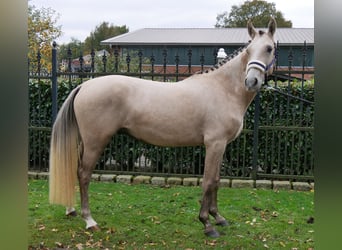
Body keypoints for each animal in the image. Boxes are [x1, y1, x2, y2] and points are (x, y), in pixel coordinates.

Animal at [48, 17, 278, 236]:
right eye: (248, 50)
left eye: (269, 48)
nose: (251, 81)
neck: (223, 88)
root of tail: (84, 85)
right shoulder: (214, 144)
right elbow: (208, 181)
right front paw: (207, 224)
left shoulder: (221, 146)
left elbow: (216, 180)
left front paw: (218, 217)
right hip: (95, 143)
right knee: (84, 174)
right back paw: (89, 221)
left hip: (83, 142)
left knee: (73, 169)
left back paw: (71, 210)